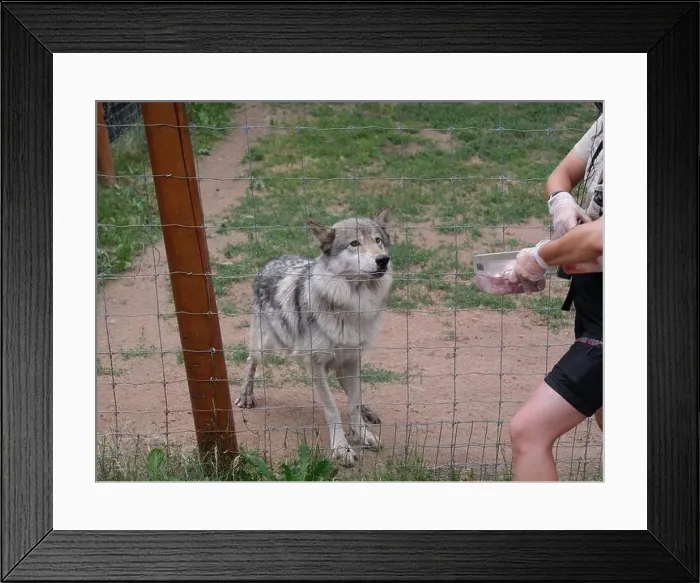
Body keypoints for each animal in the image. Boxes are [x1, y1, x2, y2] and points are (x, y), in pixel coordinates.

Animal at [234, 208, 393, 466]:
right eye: (354, 244)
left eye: (378, 240)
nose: (383, 260)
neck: (351, 305)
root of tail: (270, 260)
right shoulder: (316, 364)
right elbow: (332, 409)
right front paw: (342, 448)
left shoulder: (352, 360)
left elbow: (352, 404)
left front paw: (363, 434)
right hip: (266, 347)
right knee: (250, 361)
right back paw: (245, 396)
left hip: (340, 366)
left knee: (354, 393)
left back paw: (367, 411)